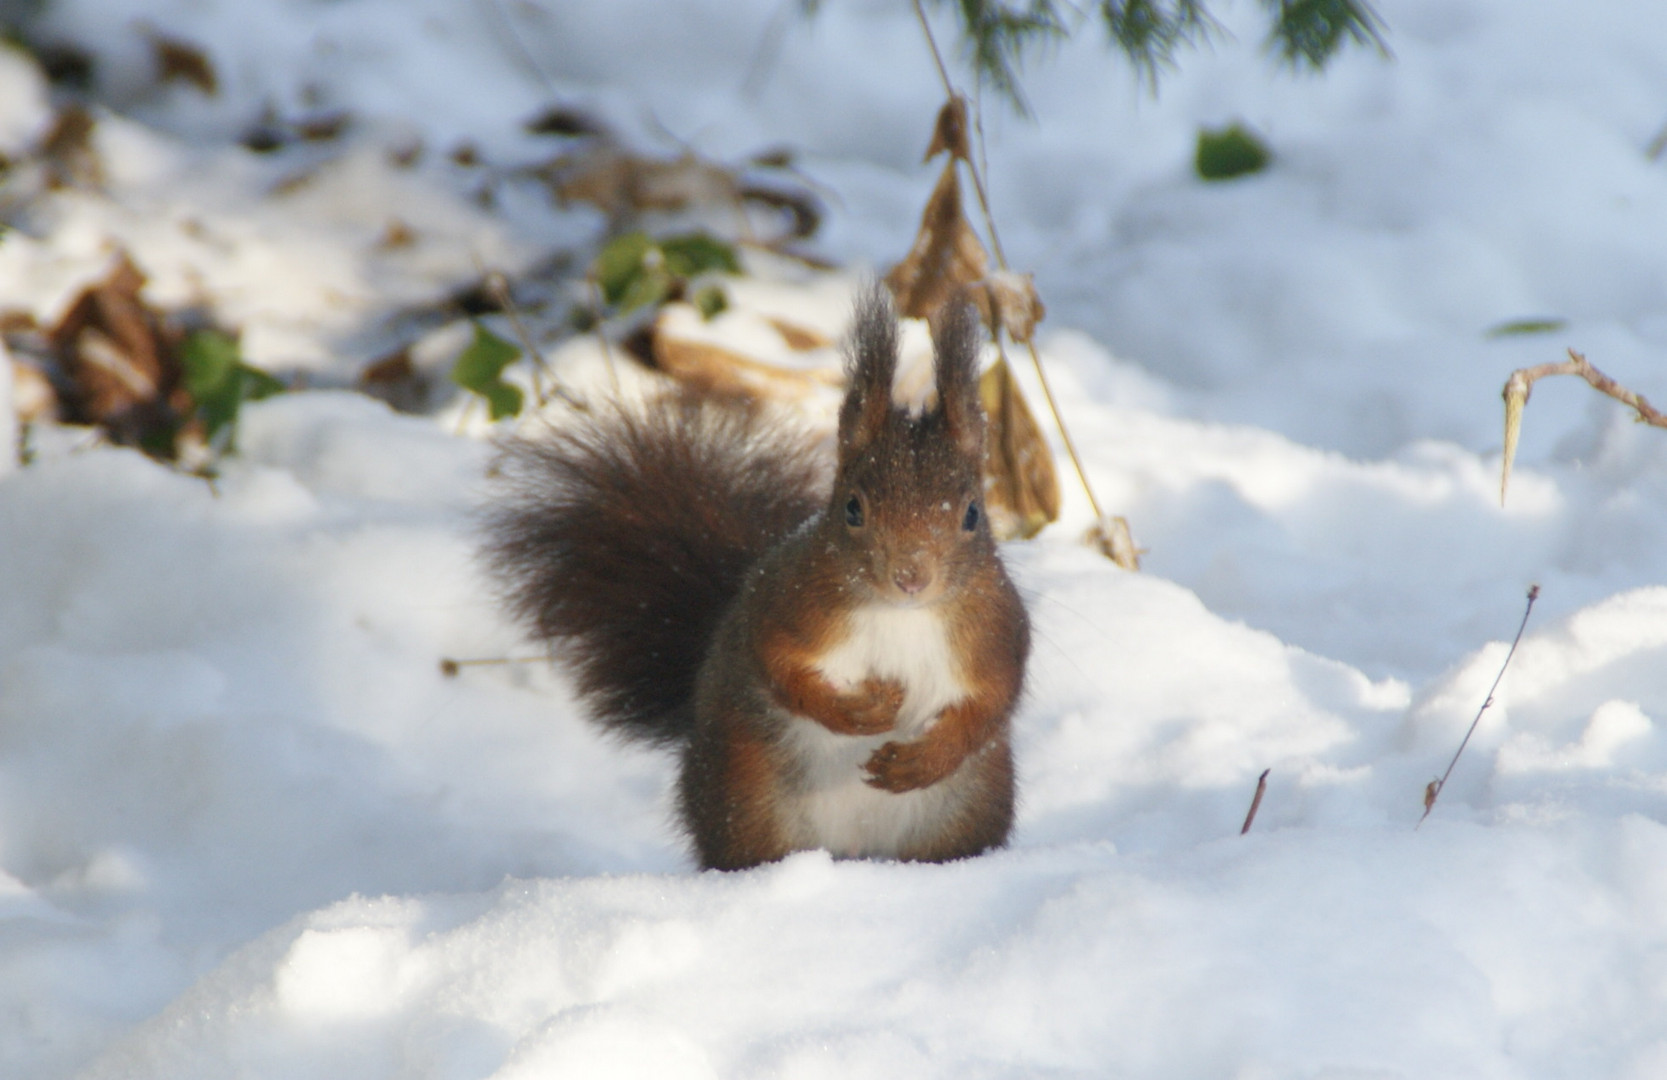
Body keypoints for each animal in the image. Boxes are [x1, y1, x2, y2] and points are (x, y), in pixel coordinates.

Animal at [483, 286, 1026, 866]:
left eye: (972, 514)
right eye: (853, 508)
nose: (910, 576)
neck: (900, 614)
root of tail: (855, 851)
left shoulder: (995, 635)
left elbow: (991, 705)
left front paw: (921, 761)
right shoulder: (786, 604)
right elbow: (778, 666)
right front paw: (856, 712)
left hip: (961, 816)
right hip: (748, 801)